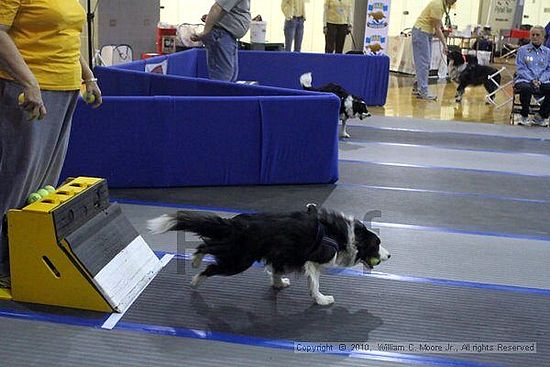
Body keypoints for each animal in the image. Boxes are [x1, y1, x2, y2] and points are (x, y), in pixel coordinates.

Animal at [147, 204, 392, 308]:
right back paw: (196, 279)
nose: (390, 256)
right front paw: (322, 300)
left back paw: (195, 261)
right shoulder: (313, 260)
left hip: (234, 250)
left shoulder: (280, 255)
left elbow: (275, 271)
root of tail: (236, 224)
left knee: (206, 245)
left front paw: (278, 284)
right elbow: (314, 283)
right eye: (377, 244)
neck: (347, 236)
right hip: (239, 260)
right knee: (211, 263)